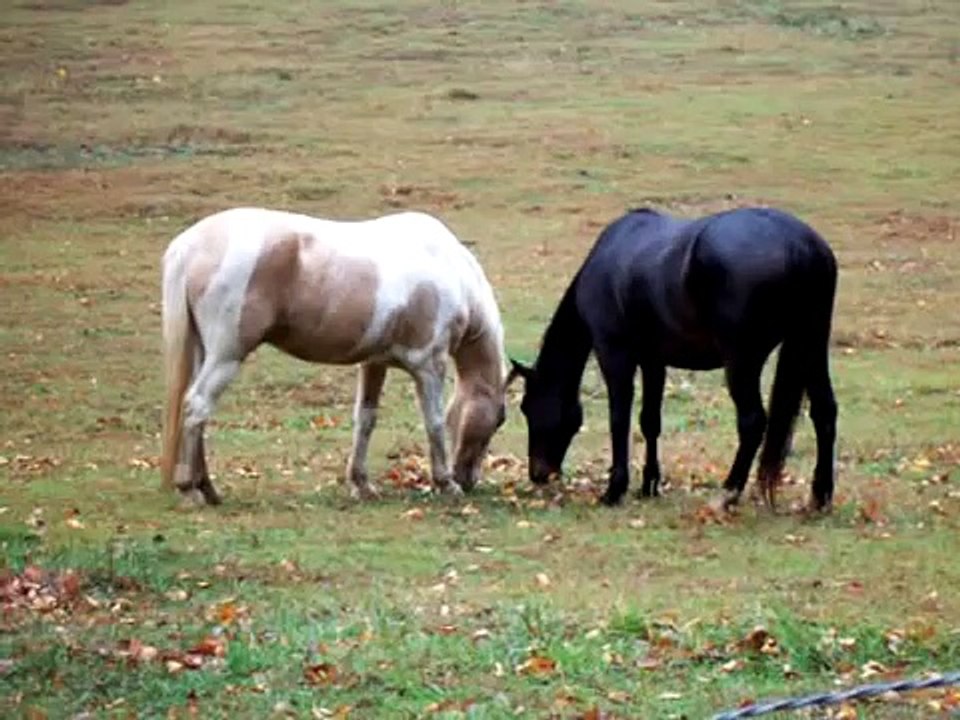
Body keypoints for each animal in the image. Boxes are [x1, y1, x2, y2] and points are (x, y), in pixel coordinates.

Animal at [160, 207, 508, 505]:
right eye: (500, 419)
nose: (468, 480)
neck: (450, 268)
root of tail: (189, 246)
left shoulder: (374, 364)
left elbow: (365, 420)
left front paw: (362, 484)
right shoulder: (429, 366)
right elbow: (433, 421)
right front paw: (444, 483)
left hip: (204, 353)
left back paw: (208, 488)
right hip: (226, 357)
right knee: (197, 406)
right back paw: (191, 488)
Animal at [508, 206, 838, 511]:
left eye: (527, 407)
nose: (539, 474)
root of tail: (799, 243)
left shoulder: (615, 355)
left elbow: (619, 419)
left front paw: (615, 490)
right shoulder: (653, 361)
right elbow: (649, 421)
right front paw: (649, 485)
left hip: (743, 362)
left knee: (753, 422)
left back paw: (728, 493)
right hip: (810, 347)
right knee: (824, 412)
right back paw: (820, 497)